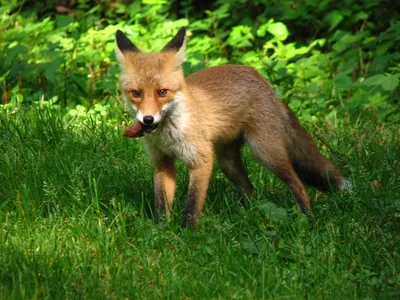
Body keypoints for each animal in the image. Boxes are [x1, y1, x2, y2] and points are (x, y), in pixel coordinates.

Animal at [115, 27, 350, 227]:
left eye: (162, 92)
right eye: (136, 93)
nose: (148, 119)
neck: (168, 134)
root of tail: (263, 80)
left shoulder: (201, 159)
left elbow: (192, 204)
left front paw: (187, 233)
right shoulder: (162, 161)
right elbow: (161, 204)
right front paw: (162, 230)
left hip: (266, 153)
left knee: (298, 183)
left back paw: (306, 218)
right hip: (227, 162)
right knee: (250, 188)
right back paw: (249, 214)